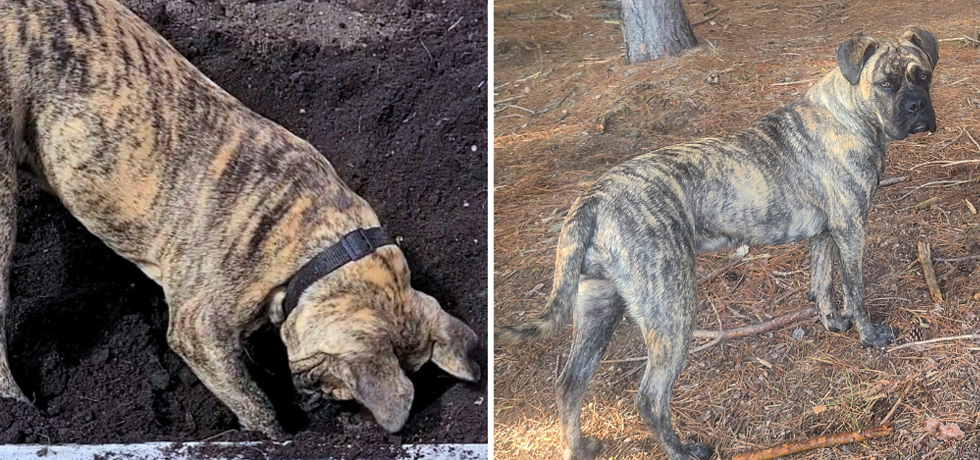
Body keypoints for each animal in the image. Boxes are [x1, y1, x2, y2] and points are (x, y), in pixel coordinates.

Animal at [0, 0, 480, 438]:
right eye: (333, 384)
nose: (319, 406)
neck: (314, 242)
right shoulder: (199, 330)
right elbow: (250, 399)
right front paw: (275, 435)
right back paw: (18, 408)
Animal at [502, 31, 936, 460]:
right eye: (885, 84)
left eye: (924, 75)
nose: (917, 106)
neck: (851, 115)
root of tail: (593, 198)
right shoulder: (851, 227)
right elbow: (855, 290)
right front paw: (870, 336)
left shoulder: (825, 233)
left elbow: (822, 283)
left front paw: (832, 323)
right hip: (671, 310)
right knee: (649, 398)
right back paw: (683, 450)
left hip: (599, 306)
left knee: (570, 383)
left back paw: (579, 446)